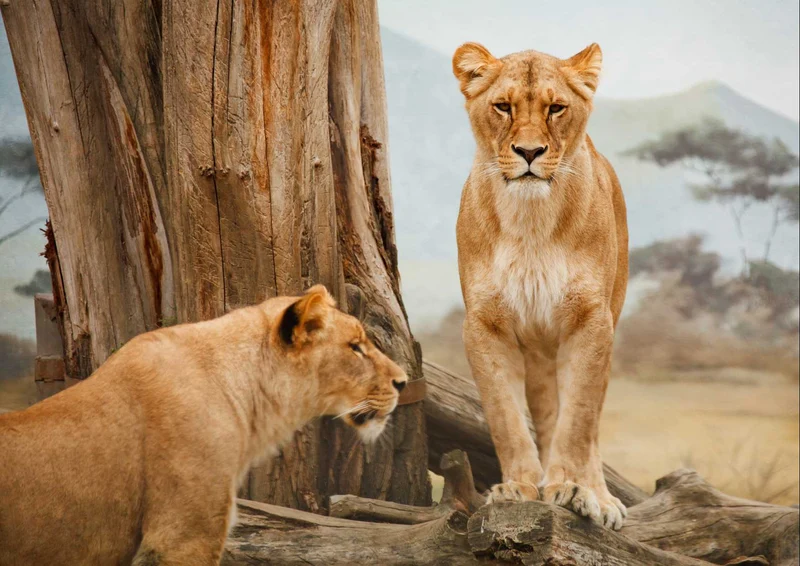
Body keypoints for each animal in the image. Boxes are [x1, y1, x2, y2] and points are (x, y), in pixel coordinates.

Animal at [452, 42, 629, 529]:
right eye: (502, 106)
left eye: (555, 108)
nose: (529, 151)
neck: (530, 220)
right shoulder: (485, 326)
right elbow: (506, 418)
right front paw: (518, 487)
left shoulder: (591, 322)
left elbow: (579, 422)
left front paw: (571, 488)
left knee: (590, 424)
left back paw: (599, 497)